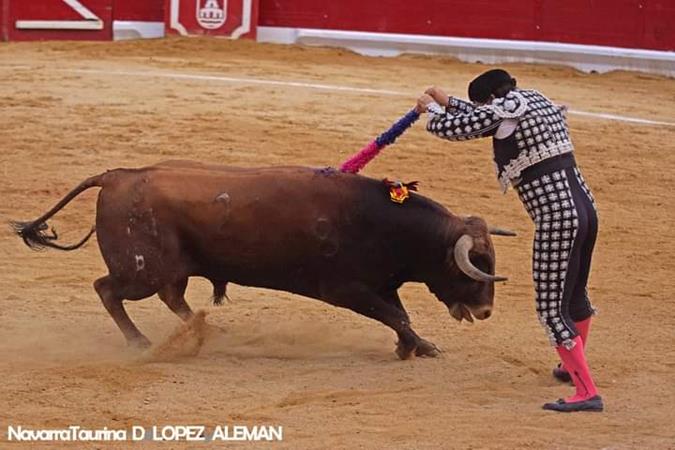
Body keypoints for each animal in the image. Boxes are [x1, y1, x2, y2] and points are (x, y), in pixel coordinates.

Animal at [13, 161, 510, 358]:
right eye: (472, 265)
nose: (487, 311)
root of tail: (117, 176)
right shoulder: (346, 290)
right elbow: (395, 315)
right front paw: (416, 347)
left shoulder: (381, 284)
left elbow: (400, 315)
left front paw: (415, 347)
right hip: (142, 270)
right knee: (108, 290)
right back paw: (141, 343)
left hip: (170, 268)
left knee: (174, 299)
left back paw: (209, 332)